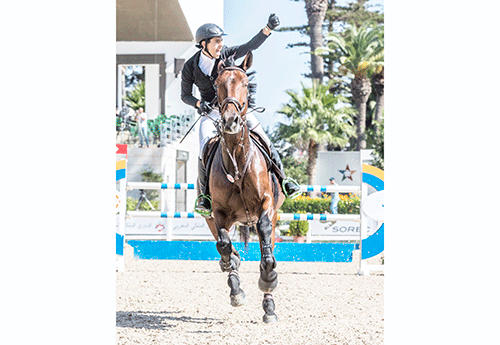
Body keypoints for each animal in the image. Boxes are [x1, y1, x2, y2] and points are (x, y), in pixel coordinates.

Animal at [201, 51, 284, 322]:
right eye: (217, 84)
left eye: (246, 84)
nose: (230, 121)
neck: (237, 161)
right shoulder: (218, 213)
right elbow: (224, 245)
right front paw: (234, 280)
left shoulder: (267, 205)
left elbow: (265, 238)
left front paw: (268, 278)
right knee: (224, 246)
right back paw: (233, 279)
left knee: (265, 244)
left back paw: (269, 308)